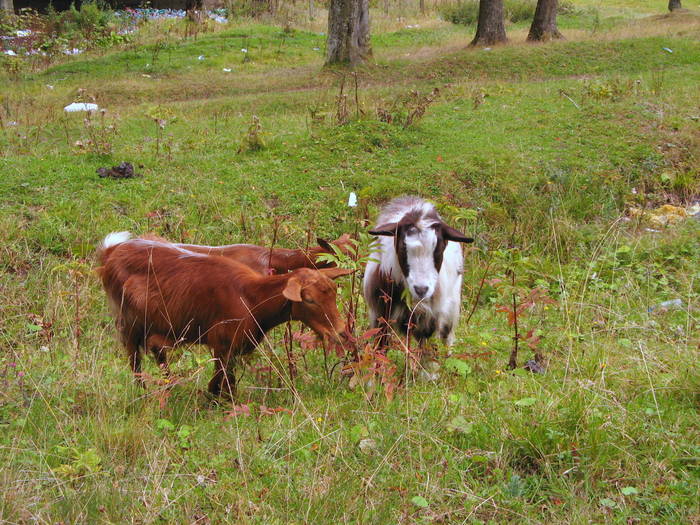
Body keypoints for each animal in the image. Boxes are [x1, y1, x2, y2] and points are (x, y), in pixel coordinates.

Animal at [95, 231, 352, 396]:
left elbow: (227, 380)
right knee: (135, 359)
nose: (340, 332)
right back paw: (144, 393)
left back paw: (170, 386)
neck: (251, 295)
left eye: (333, 293)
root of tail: (112, 251)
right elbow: (220, 381)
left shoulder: (235, 345)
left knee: (157, 351)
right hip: (128, 322)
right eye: (309, 300)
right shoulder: (222, 342)